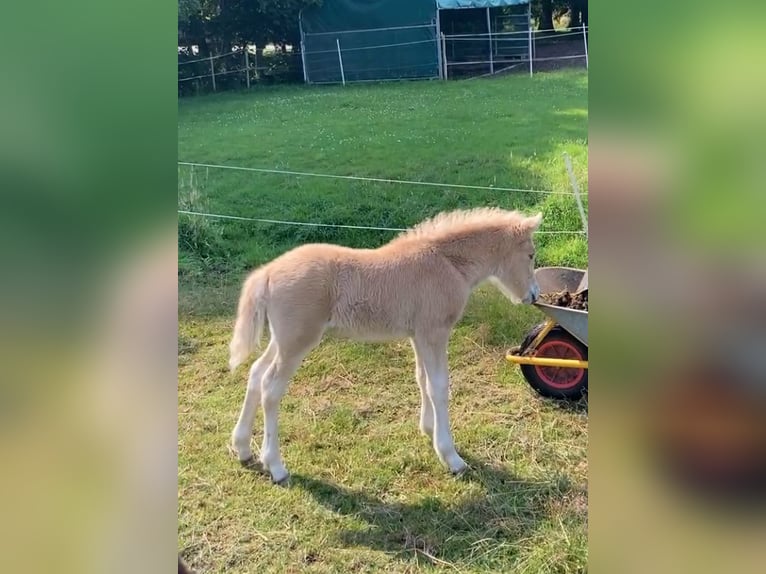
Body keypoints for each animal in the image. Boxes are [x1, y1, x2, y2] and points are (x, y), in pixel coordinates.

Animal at [226, 209, 540, 484]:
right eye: (531, 255)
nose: (534, 295)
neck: (447, 263)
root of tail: (267, 272)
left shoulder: (418, 334)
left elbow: (422, 379)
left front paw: (428, 430)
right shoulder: (435, 332)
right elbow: (439, 386)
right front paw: (451, 457)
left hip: (281, 339)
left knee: (256, 373)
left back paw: (243, 448)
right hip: (297, 340)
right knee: (270, 387)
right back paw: (276, 466)